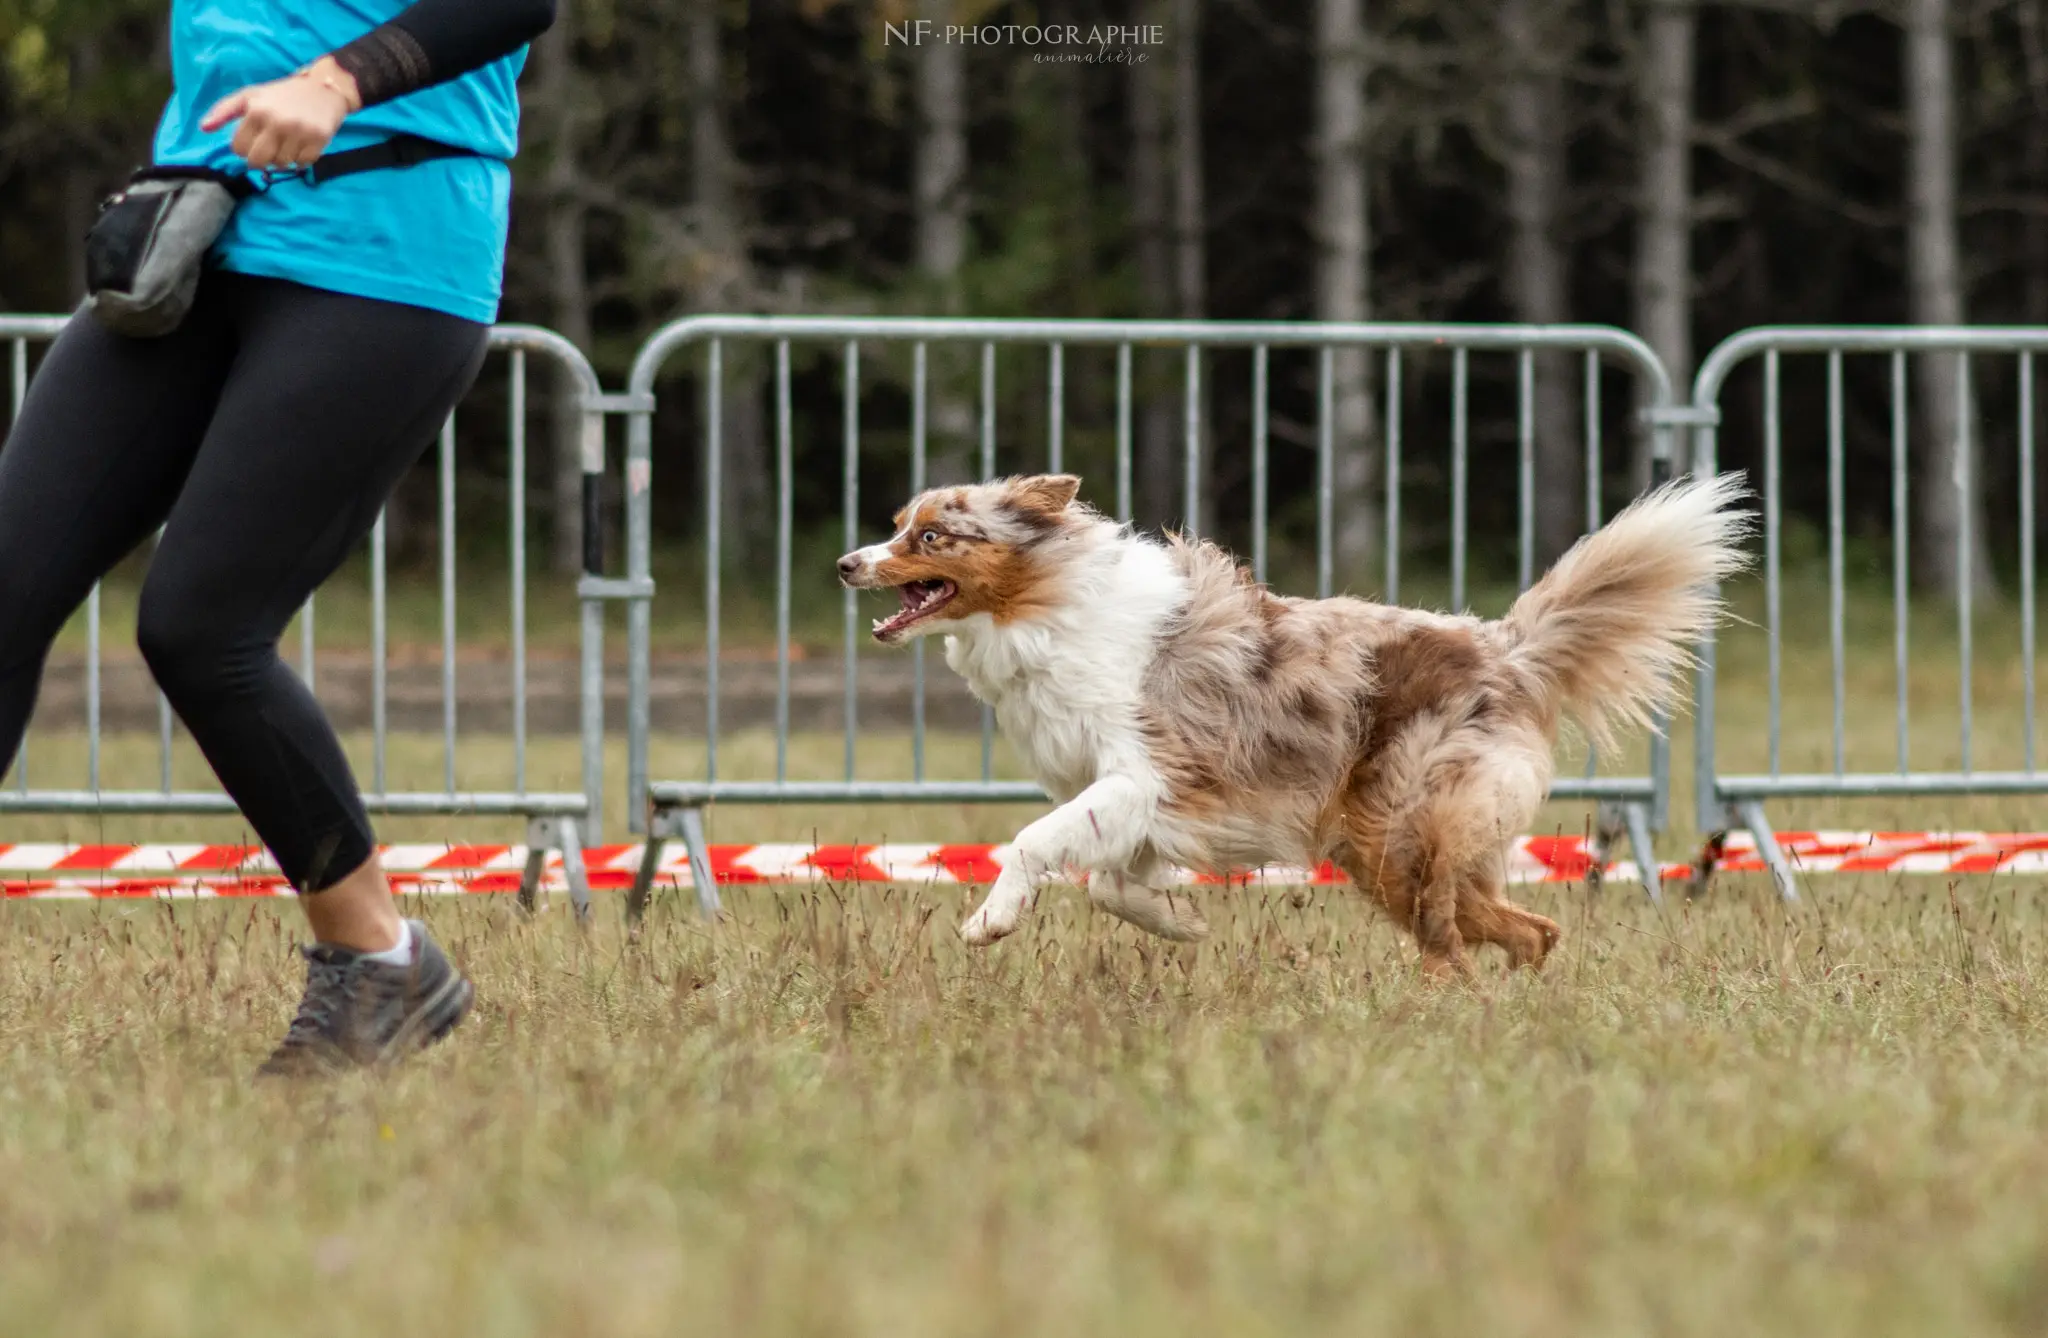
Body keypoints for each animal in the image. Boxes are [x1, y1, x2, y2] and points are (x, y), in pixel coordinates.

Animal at [831, 469, 1744, 971]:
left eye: (933, 536)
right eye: (897, 527)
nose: (846, 563)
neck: (1047, 609)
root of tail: (1507, 647)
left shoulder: (1144, 772)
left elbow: (1033, 844)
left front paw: (990, 920)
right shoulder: (1144, 802)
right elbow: (1109, 883)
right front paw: (1179, 922)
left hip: (1402, 833)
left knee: (1451, 945)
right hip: (1382, 850)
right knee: (1528, 929)